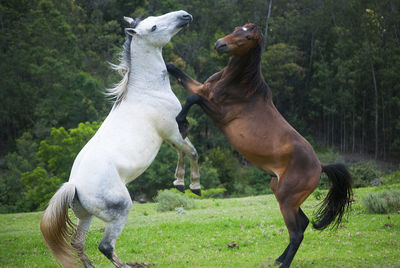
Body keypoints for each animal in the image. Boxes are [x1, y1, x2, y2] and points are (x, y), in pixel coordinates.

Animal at [40, 9, 200, 266]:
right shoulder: (174, 131)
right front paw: (194, 186)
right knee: (105, 246)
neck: (148, 90)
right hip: (120, 210)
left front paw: (179, 182)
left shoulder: (173, 135)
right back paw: (129, 264)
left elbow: (182, 153)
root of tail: (74, 186)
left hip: (86, 217)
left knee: (77, 243)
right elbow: (192, 152)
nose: (185, 16)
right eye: (153, 27)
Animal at [167, 23, 352, 268]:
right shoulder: (202, 88)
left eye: (247, 37)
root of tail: (320, 166)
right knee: (302, 223)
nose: (219, 44)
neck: (240, 85)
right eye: (236, 28)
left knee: (297, 233)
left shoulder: (218, 113)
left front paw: (182, 123)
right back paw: (279, 258)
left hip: (286, 200)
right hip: (282, 194)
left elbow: (191, 100)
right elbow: (178, 73)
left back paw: (284, 264)